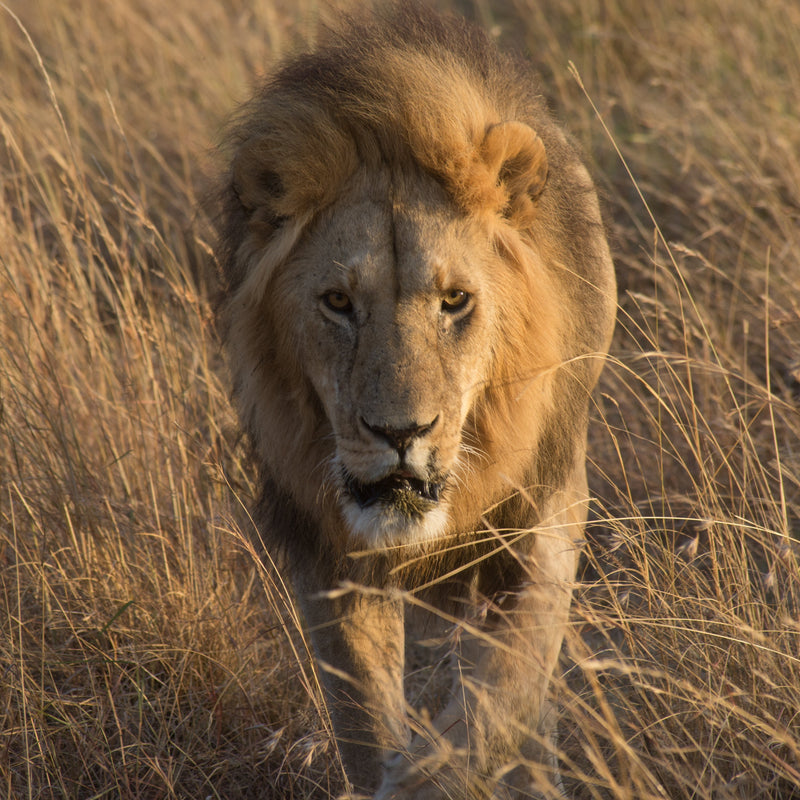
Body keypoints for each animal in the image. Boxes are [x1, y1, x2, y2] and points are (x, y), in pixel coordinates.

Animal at [216, 6, 616, 798]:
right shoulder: (329, 551)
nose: (401, 432)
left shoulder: (545, 513)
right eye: (338, 303)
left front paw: (440, 769)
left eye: (454, 300)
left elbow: (501, 695)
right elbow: (364, 715)